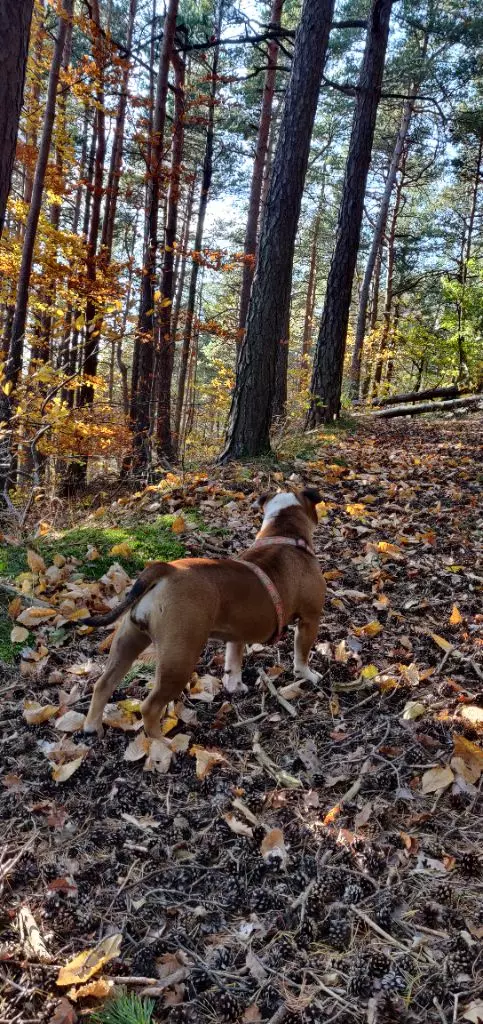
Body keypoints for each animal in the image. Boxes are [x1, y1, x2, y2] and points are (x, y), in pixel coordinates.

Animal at [82, 487, 325, 737]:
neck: (284, 534)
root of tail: (165, 570)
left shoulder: (237, 633)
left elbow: (233, 661)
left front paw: (235, 686)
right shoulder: (310, 619)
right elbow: (301, 654)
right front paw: (308, 675)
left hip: (128, 641)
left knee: (104, 684)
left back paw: (92, 727)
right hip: (179, 658)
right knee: (150, 706)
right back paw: (161, 742)